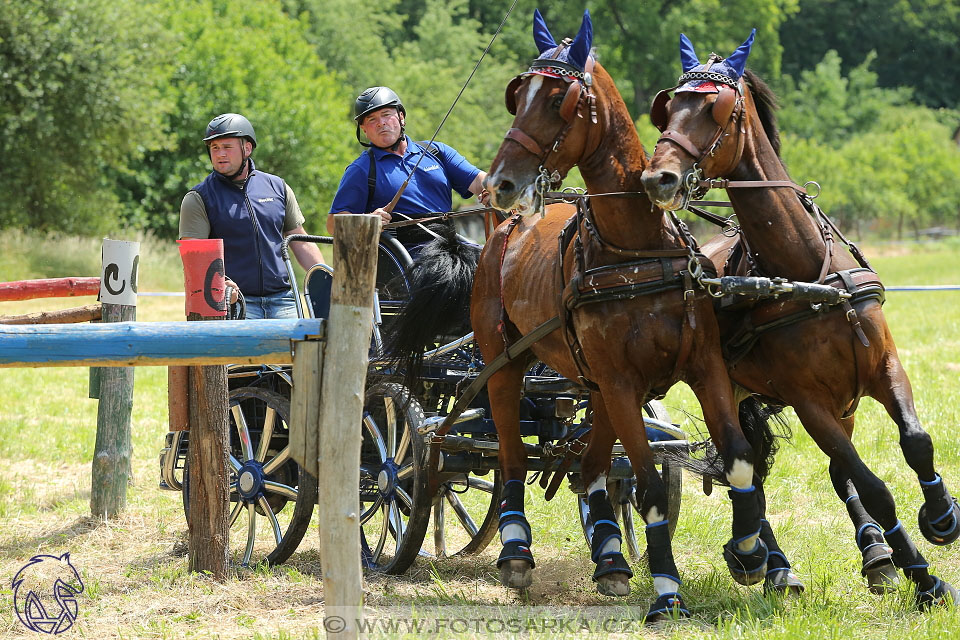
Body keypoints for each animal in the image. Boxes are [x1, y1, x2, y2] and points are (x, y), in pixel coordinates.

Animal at [386, 8, 792, 620]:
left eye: (559, 100)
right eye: (518, 95)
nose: (500, 182)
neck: (635, 249)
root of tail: (500, 230)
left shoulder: (700, 368)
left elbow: (738, 457)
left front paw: (748, 554)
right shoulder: (621, 382)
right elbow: (649, 487)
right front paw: (667, 592)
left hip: (594, 386)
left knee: (592, 466)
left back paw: (610, 556)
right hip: (505, 363)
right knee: (511, 455)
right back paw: (516, 550)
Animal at [636, 31, 960, 608]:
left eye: (715, 109)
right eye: (668, 108)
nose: (659, 178)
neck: (806, 275)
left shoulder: (881, 370)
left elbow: (914, 443)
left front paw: (941, 517)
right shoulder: (810, 403)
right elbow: (874, 486)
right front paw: (924, 577)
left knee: (795, 468)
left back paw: (869, 555)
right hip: (719, 384)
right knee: (744, 466)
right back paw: (768, 561)